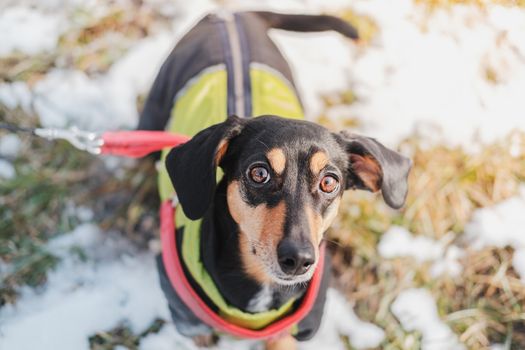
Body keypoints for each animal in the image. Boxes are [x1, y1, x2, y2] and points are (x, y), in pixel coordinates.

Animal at [137, 10, 412, 350]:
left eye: (329, 182)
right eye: (259, 173)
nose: (299, 259)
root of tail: (231, 15)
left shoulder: (287, 334)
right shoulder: (189, 321)